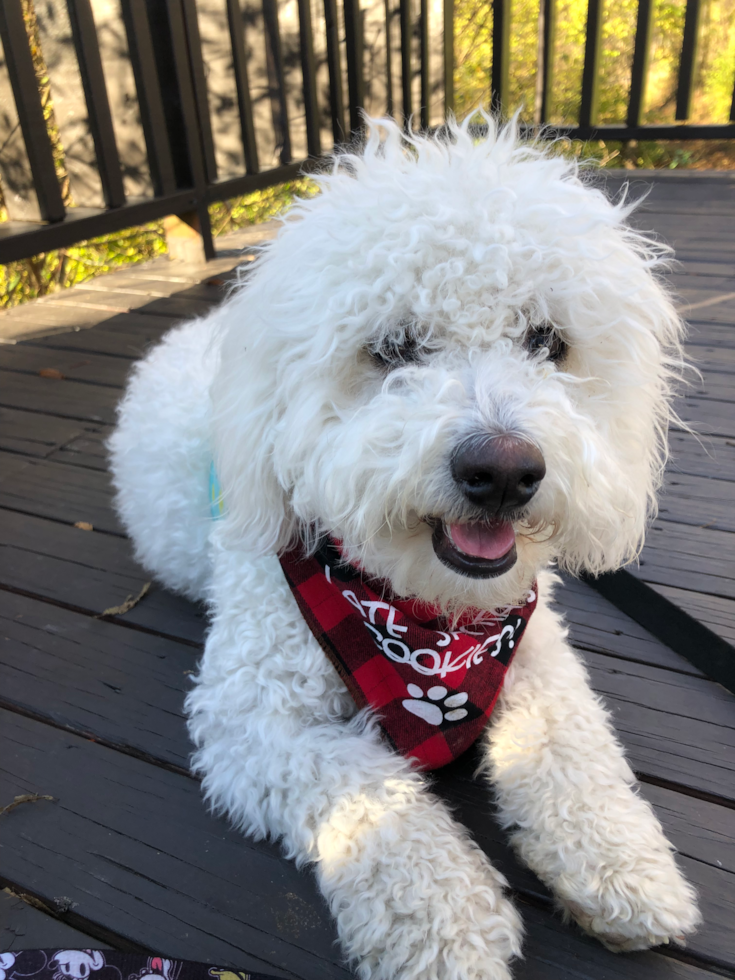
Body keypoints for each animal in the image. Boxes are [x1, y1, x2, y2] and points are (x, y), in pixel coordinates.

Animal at [109, 117, 700, 980]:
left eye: (547, 341)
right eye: (391, 348)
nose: (503, 471)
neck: (424, 622)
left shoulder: (538, 652)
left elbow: (572, 749)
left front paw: (622, 866)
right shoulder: (254, 718)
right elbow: (372, 800)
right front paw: (448, 927)